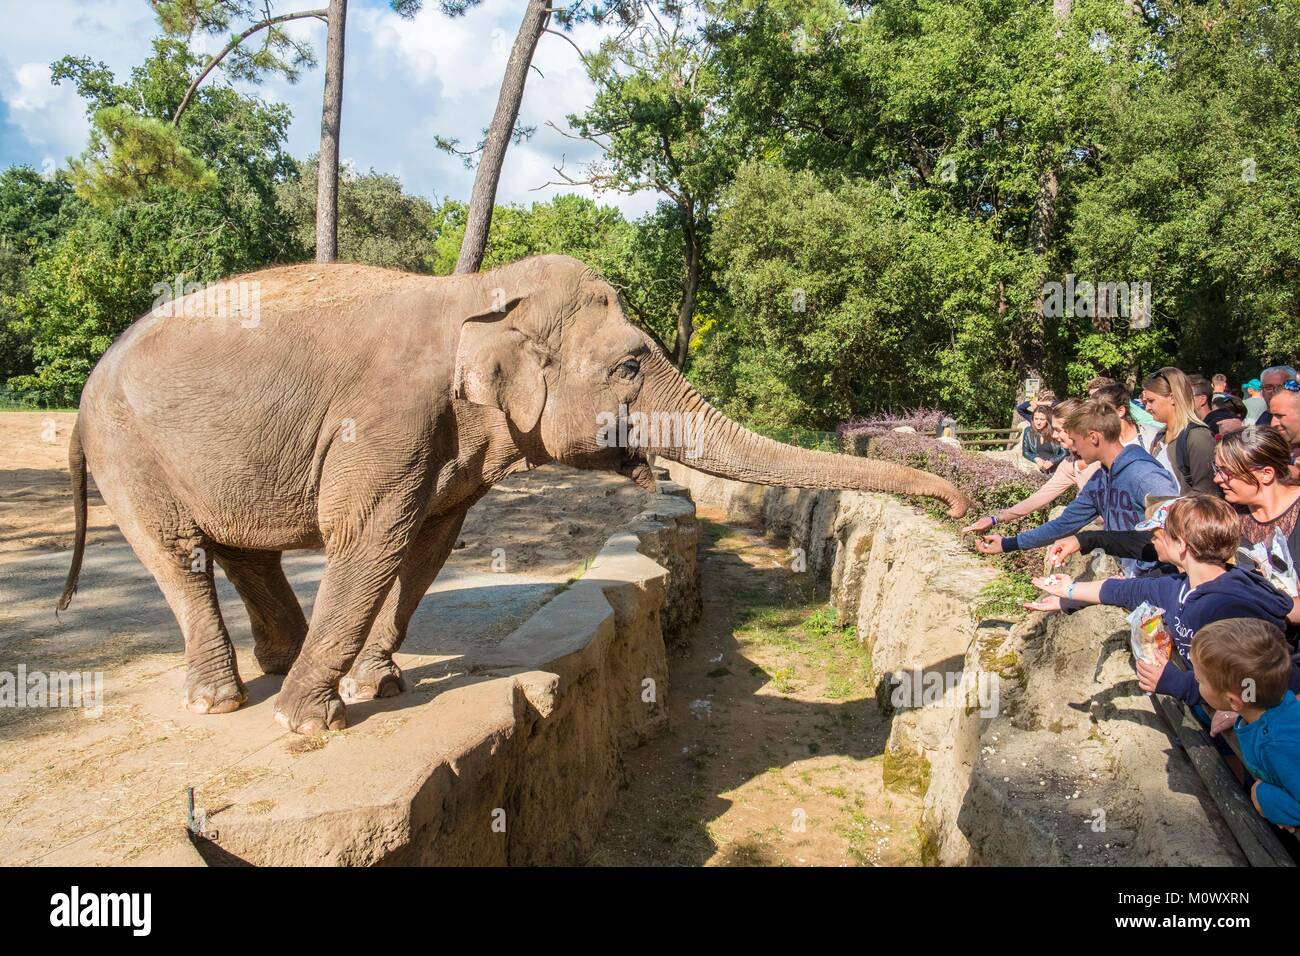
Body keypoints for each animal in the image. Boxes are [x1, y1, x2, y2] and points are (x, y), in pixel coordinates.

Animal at [61, 252, 972, 733]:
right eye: (631, 365)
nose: (964, 509)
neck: (485, 295)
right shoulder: (386, 418)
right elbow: (368, 535)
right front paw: (306, 723)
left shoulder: (450, 446)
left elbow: (427, 544)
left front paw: (372, 686)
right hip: (124, 447)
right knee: (179, 552)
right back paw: (223, 702)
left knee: (242, 550)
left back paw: (278, 665)